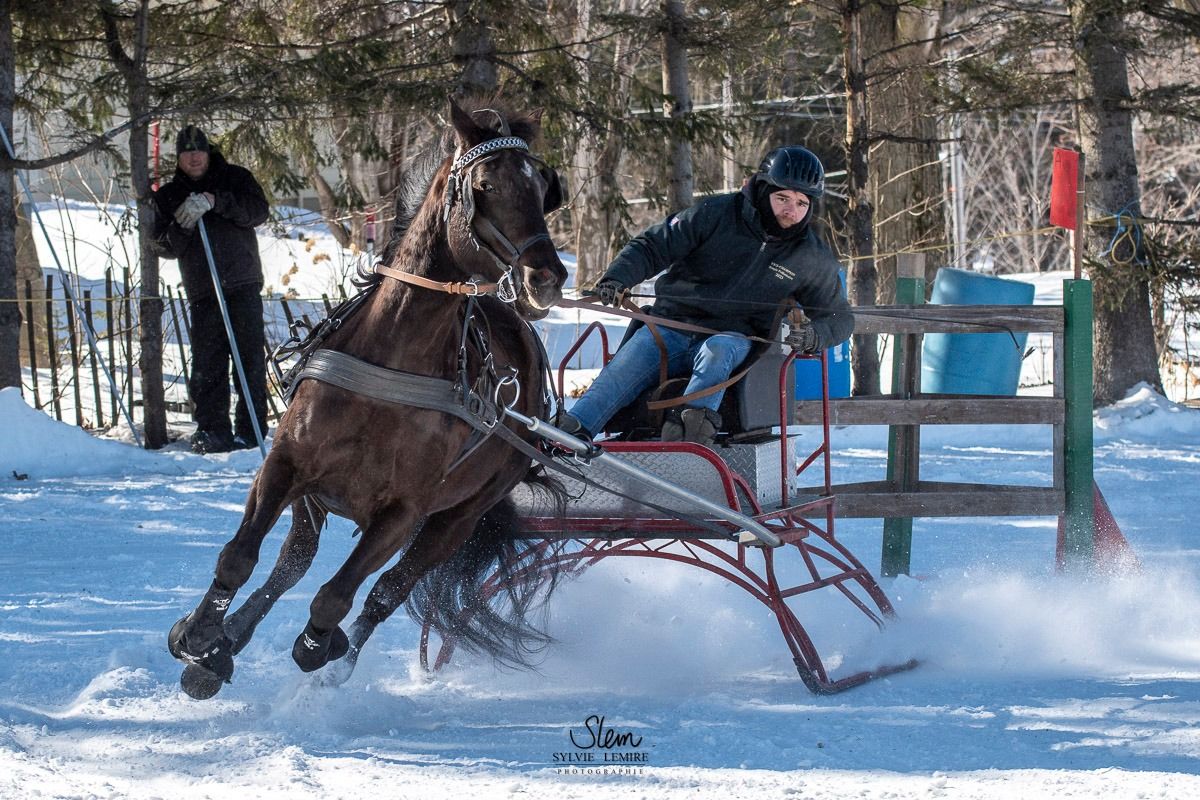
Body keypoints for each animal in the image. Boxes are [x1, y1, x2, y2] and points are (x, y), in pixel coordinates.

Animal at [168, 98, 571, 700]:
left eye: (543, 186)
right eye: (485, 185)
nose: (546, 276)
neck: (393, 357)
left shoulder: (404, 512)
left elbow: (338, 596)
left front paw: (320, 647)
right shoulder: (286, 466)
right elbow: (240, 557)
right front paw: (200, 638)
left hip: (460, 517)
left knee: (386, 591)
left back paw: (335, 659)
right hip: (315, 498)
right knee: (291, 563)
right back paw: (226, 643)